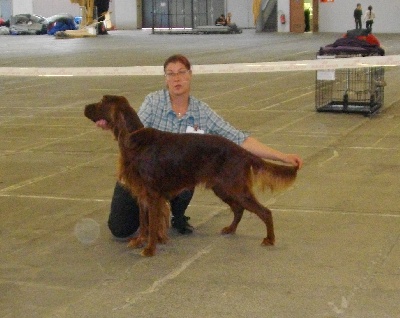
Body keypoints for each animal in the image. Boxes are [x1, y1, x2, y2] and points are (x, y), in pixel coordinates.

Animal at [84, 94, 296, 256]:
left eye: (101, 101)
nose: (85, 107)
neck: (134, 139)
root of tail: (241, 151)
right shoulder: (142, 193)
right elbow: (144, 223)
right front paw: (139, 241)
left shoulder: (152, 194)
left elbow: (152, 224)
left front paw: (150, 248)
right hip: (222, 188)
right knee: (238, 209)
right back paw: (231, 229)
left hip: (234, 187)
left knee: (264, 211)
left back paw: (269, 239)